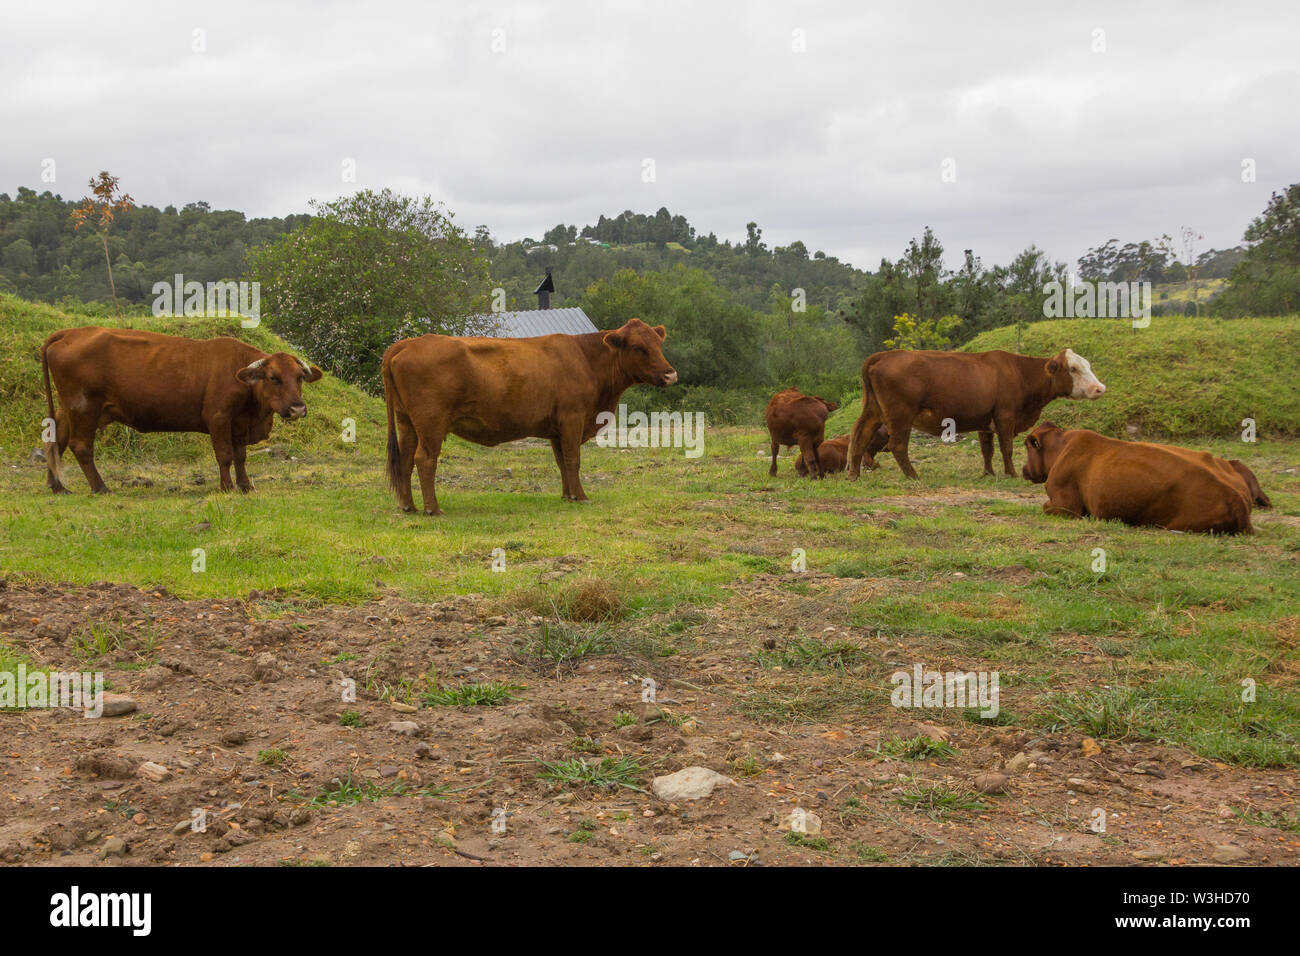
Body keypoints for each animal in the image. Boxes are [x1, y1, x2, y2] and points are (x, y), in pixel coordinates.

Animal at [41, 326, 322, 494]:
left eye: (299, 377)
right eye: (274, 378)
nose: (298, 409)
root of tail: (73, 332)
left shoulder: (239, 424)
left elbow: (241, 457)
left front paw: (244, 486)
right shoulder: (218, 418)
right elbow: (225, 455)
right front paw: (226, 486)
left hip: (67, 408)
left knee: (55, 441)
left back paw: (57, 486)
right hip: (83, 407)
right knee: (80, 446)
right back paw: (100, 487)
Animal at [382, 317, 676, 515]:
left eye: (658, 343)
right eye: (637, 347)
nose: (670, 374)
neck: (586, 359)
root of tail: (407, 343)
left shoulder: (558, 429)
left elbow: (562, 462)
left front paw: (567, 495)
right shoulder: (573, 418)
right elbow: (573, 461)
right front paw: (581, 496)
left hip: (406, 422)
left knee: (405, 460)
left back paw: (408, 506)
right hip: (431, 424)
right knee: (424, 459)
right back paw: (433, 508)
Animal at [846, 348, 1105, 480]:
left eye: (1087, 366)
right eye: (1073, 368)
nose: (1099, 388)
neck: (1019, 372)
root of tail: (883, 355)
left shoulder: (985, 421)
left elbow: (987, 450)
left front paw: (988, 472)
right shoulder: (1005, 417)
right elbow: (1006, 448)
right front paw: (1011, 473)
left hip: (874, 410)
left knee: (859, 436)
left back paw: (854, 474)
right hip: (900, 414)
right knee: (897, 445)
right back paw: (913, 475)